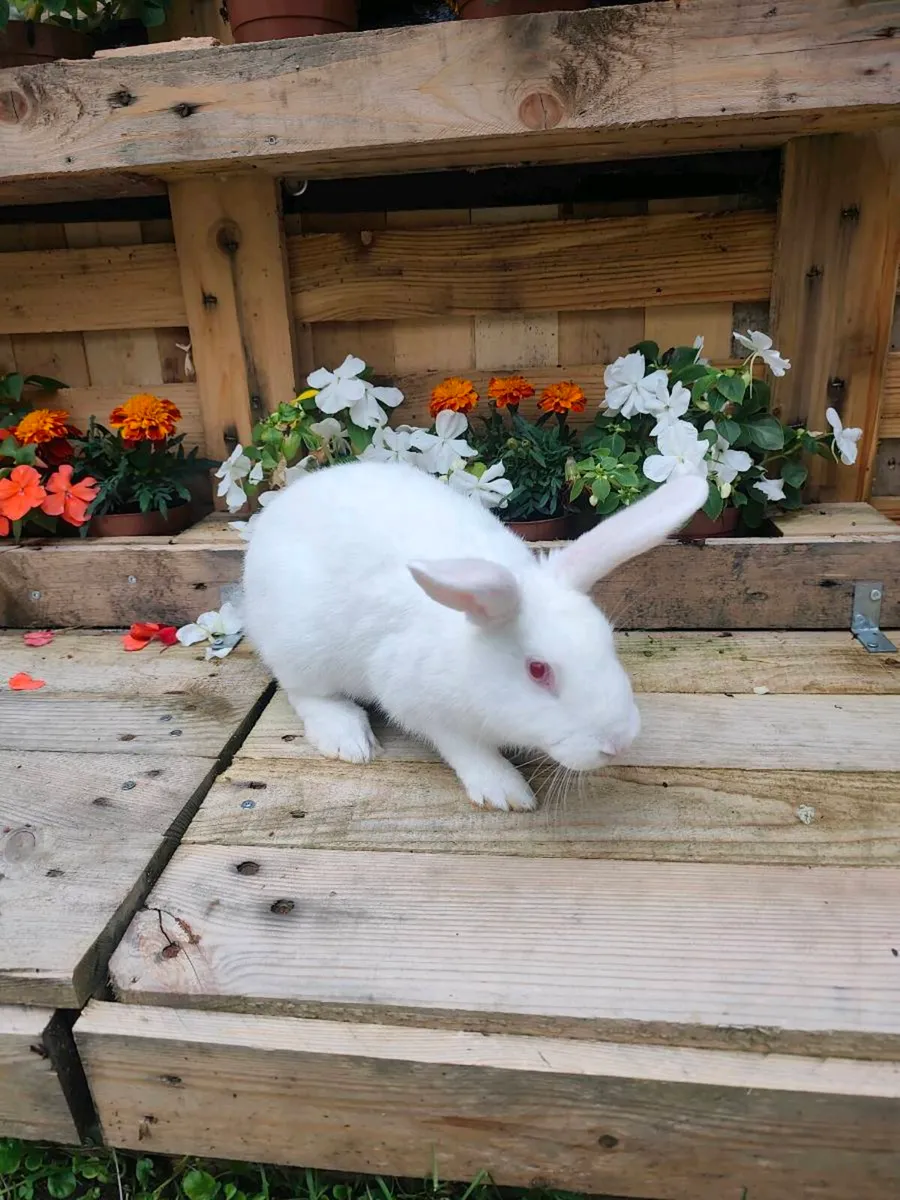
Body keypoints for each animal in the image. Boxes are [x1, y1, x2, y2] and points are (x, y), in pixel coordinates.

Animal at [242, 461, 707, 812]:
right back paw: (346, 737)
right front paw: (505, 790)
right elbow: (464, 746)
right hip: (302, 649)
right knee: (304, 692)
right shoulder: (414, 698)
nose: (620, 743)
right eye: (538, 670)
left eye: (608, 642)